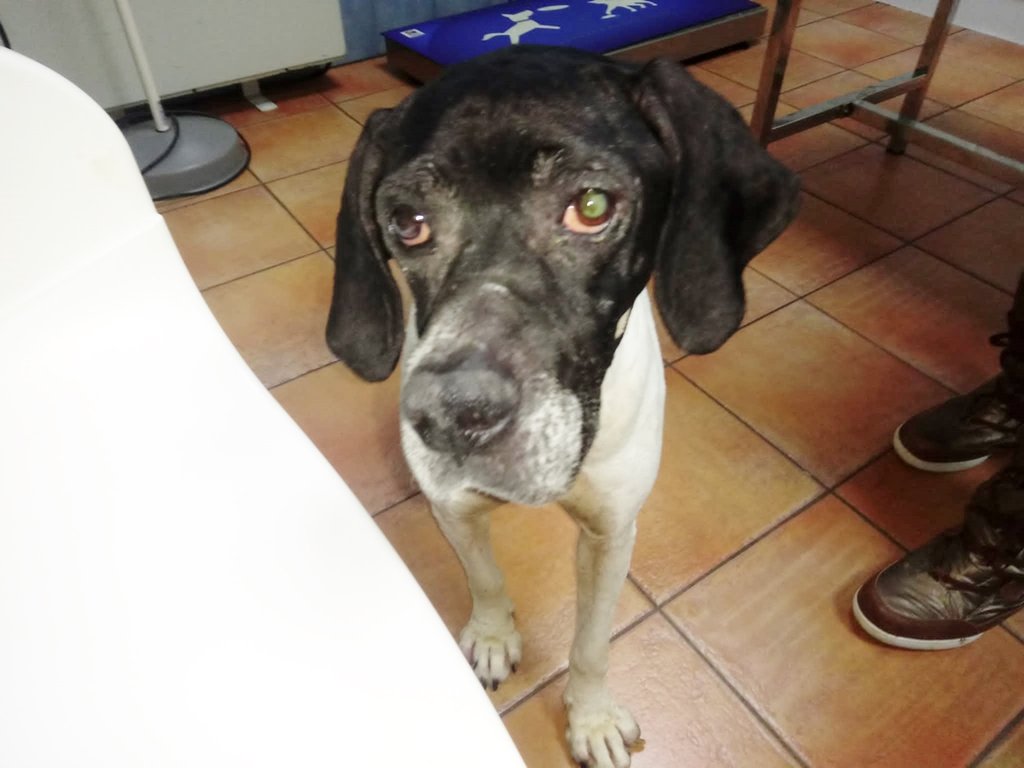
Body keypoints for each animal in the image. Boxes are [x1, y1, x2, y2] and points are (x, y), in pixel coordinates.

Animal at [326, 45, 799, 768]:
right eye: (407, 222)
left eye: (592, 205)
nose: (451, 415)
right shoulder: (456, 509)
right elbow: (485, 579)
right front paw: (494, 636)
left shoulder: (612, 532)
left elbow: (592, 642)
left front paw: (592, 718)